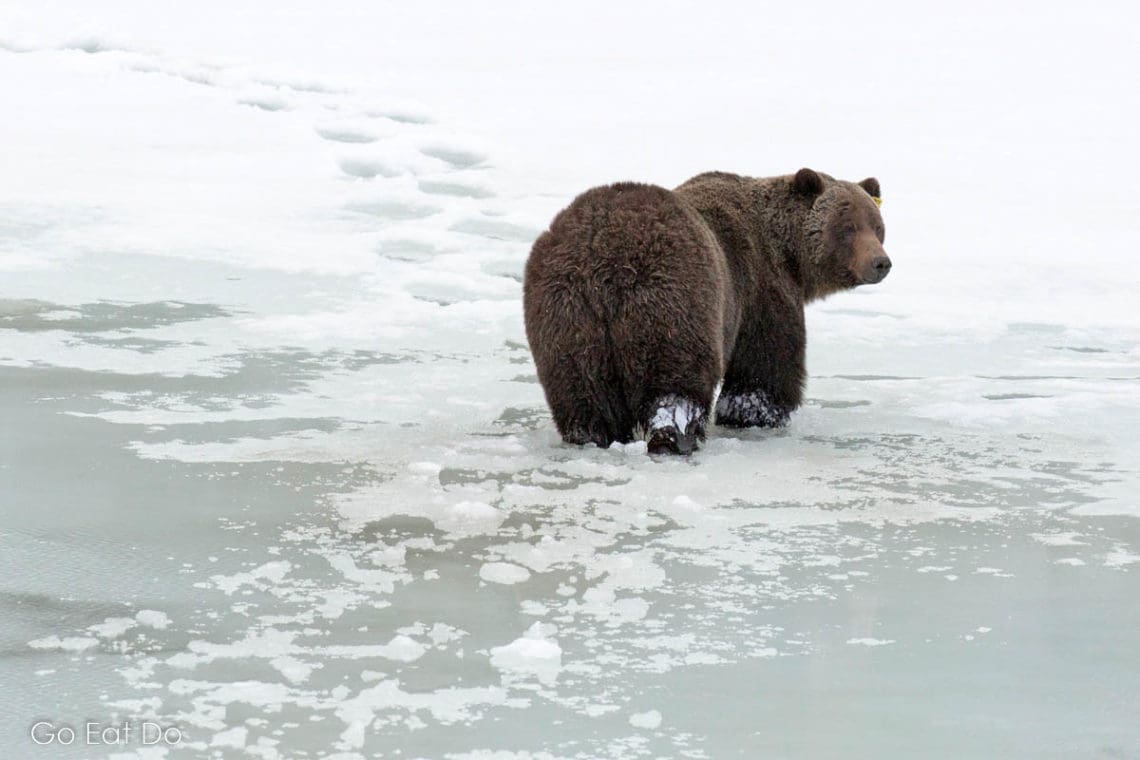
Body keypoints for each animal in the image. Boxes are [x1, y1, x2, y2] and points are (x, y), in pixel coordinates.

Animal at [522, 168, 889, 455]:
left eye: (877, 226)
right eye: (847, 227)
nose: (880, 263)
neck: (787, 254)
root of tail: (604, 256)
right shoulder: (761, 290)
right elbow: (764, 368)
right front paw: (756, 415)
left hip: (567, 314)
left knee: (583, 391)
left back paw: (590, 437)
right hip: (674, 299)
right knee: (675, 383)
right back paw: (675, 439)